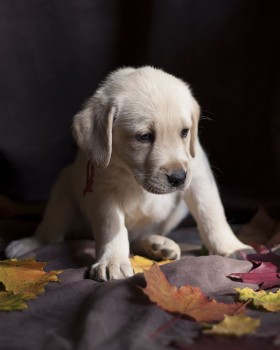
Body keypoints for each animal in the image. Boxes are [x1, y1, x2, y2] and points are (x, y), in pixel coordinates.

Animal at [5, 66, 249, 282]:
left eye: (184, 132)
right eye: (144, 137)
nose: (178, 178)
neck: (132, 176)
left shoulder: (198, 174)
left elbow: (212, 214)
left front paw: (231, 247)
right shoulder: (102, 191)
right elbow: (112, 226)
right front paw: (112, 260)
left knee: (138, 236)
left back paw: (158, 245)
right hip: (63, 188)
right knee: (52, 230)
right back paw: (29, 243)